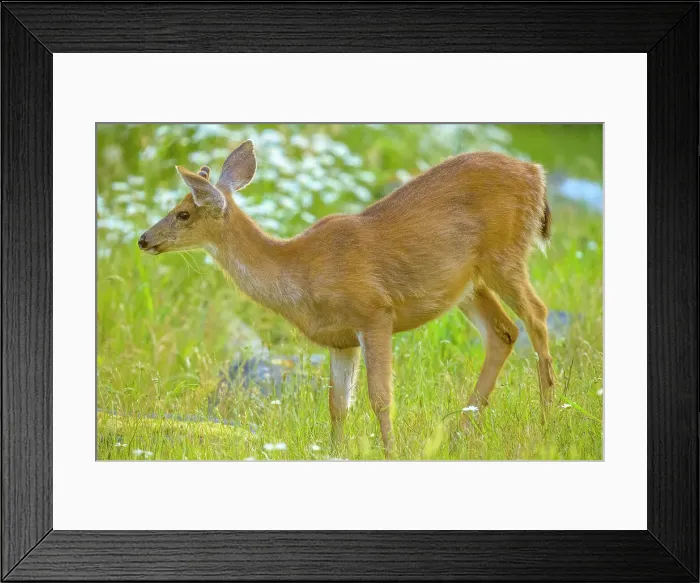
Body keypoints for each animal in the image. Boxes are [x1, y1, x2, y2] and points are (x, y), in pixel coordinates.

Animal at [138, 140, 556, 456]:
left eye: (183, 213)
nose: (143, 239)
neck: (299, 271)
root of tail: (537, 172)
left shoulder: (375, 313)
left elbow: (380, 398)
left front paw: (391, 453)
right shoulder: (339, 340)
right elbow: (338, 406)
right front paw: (336, 452)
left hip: (504, 255)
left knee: (537, 315)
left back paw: (548, 417)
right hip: (469, 283)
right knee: (503, 332)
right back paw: (459, 434)